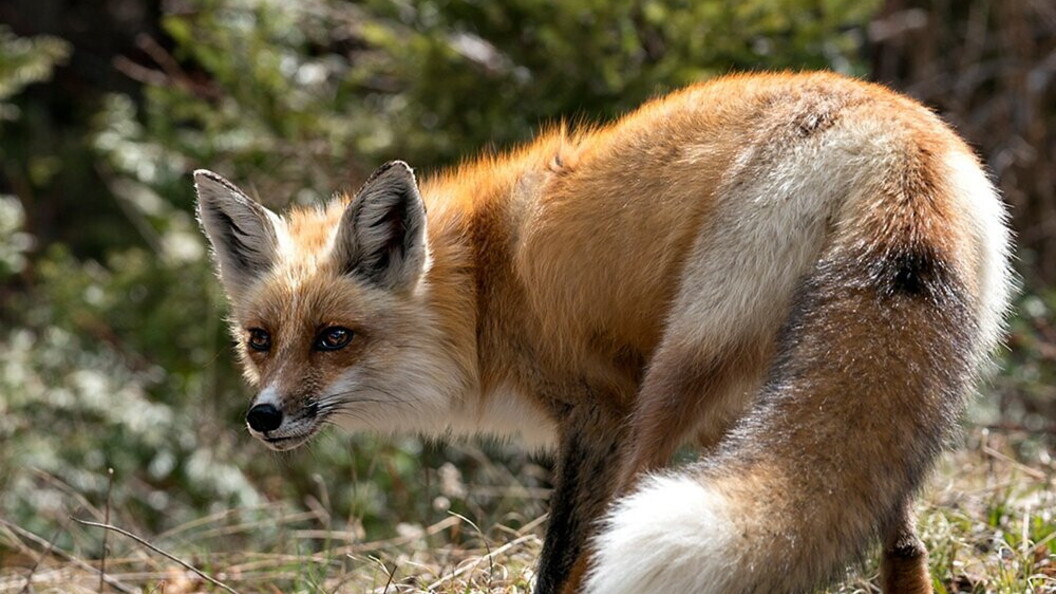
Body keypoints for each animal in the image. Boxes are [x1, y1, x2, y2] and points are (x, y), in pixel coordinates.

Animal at [195, 71, 1012, 594]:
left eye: (334, 338)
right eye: (260, 339)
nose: (263, 416)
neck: (484, 290)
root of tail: (894, 138)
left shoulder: (594, 416)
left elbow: (562, 564)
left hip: (670, 384)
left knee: (621, 529)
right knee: (900, 542)